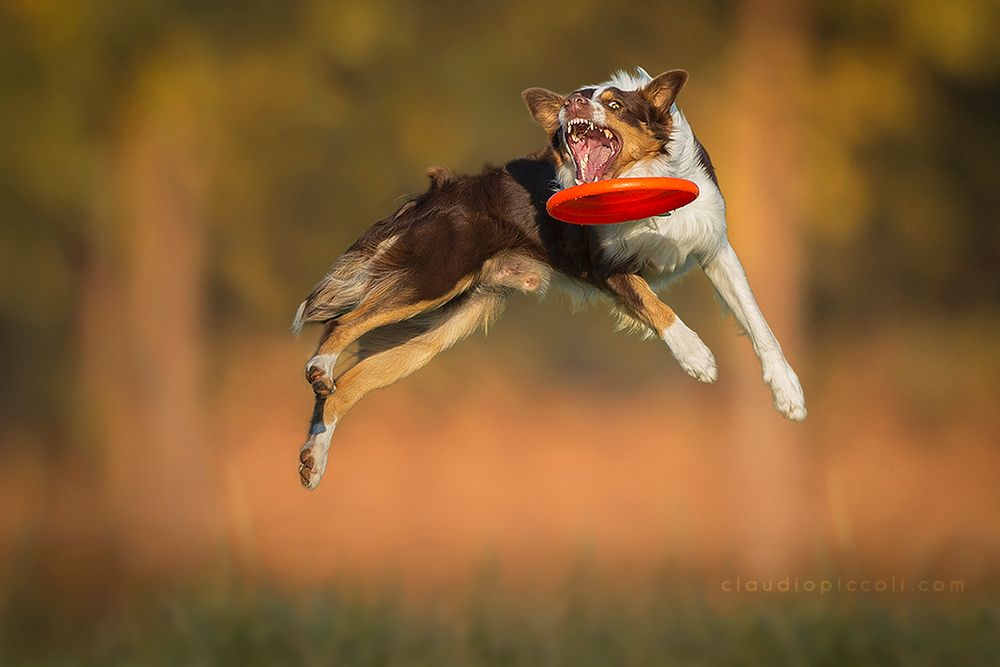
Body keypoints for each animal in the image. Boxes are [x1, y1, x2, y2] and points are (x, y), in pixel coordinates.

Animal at [292, 68, 808, 490]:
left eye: (615, 104)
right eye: (574, 100)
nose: (572, 103)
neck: (643, 183)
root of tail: (439, 193)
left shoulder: (715, 248)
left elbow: (758, 322)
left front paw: (789, 394)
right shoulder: (606, 268)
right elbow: (657, 306)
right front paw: (696, 356)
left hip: (438, 331)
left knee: (350, 385)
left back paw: (314, 458)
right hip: (433, 279)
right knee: (341, 324)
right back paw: (319, 368)